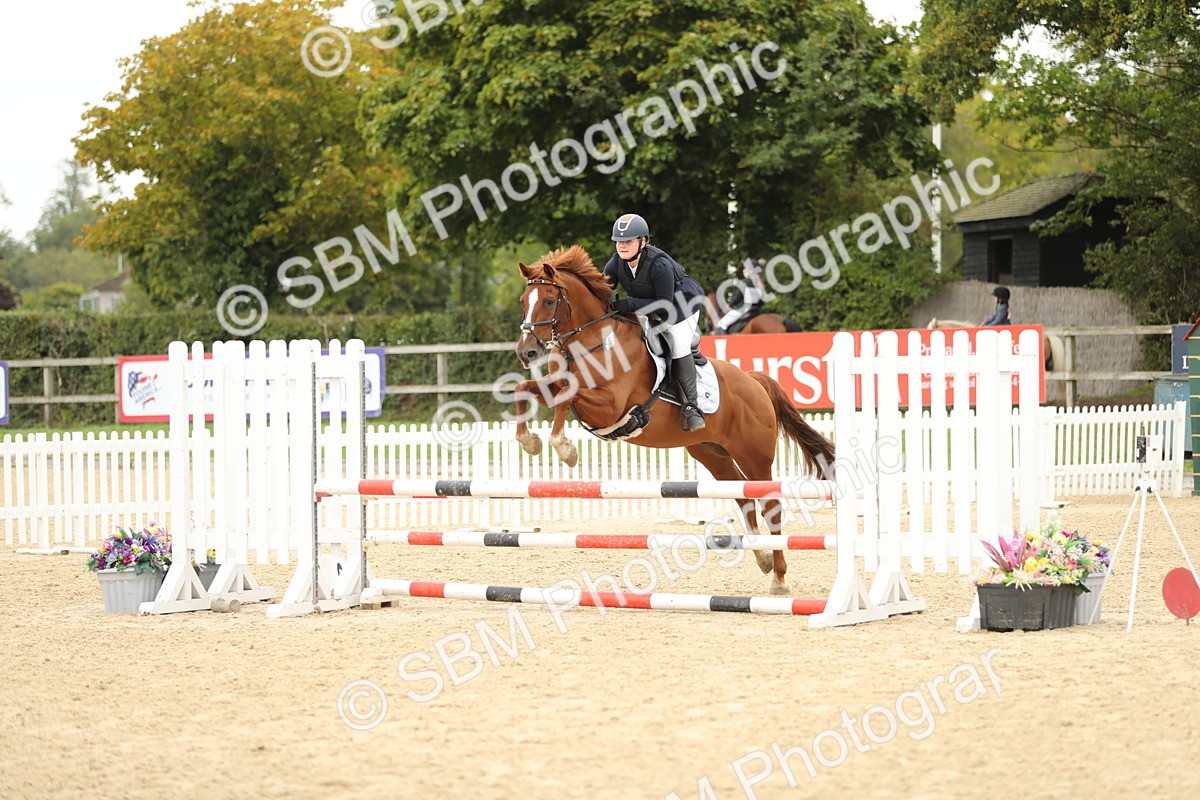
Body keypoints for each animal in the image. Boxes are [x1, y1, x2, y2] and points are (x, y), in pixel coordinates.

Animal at [512, 245, 836, 593]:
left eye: (548, 300)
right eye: (523, 301)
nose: (526, 352)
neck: (593, 342)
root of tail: (754, 381)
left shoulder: (611, 405)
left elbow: (566, 397)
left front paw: (564, 448)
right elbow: (528, 390)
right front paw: (529, 442)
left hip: (755, 455)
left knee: (770, 505)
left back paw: (778, 578)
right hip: (711, 453)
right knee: (742, 497)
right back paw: (762, 558)